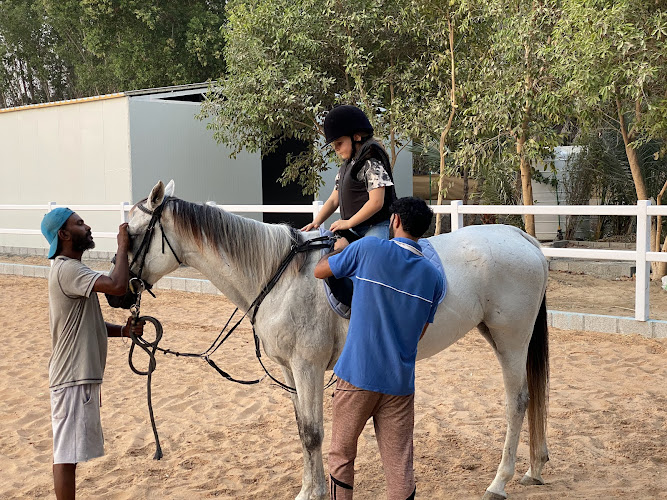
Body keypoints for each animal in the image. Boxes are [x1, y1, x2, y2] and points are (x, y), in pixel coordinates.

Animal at [125, 180, 549, 500]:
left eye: (132, 234)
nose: (120, 291)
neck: (281, 273)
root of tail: (519, 236)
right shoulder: (290, 370)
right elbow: (303, 430)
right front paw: (308, 489)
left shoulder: (308, 366)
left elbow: (314, 433)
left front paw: (312, 493)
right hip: (496, 335)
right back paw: (534, 467)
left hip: (511, 339)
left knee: (518, 402)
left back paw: (499, 483)